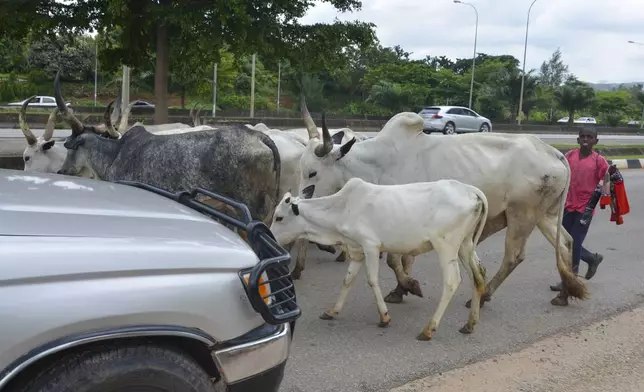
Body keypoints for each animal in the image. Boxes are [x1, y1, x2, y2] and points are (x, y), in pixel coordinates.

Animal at [268, 178, 488, 340]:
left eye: (279, 217)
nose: (271, 238)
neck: (342, 209)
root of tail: (470, 190)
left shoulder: (371, 246)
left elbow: (372, 280)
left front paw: (384, 317)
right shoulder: (357, 251)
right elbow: (347, 280)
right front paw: (332, 311)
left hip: (446, 246)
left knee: (452, 282)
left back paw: (428, 329)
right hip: (465, 245)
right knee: (477, 277)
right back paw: (470, 324)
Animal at [296, 108, 588, 308]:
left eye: (312, 173)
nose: (297, 205)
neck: (376, 164)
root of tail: (552, 151)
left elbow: (395, 260)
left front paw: (409, 286)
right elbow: (402, 259)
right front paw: (401, 290)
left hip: (521, 214)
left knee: (514, 256)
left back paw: (484, 296)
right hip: (545, 215)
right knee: (566, 243)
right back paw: (565, 293)